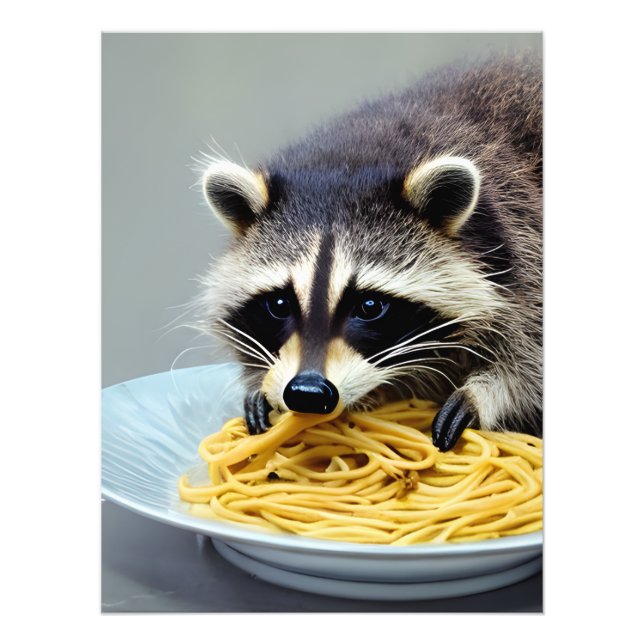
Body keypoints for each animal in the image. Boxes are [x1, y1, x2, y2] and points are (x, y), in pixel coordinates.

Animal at [197, 52, 542, 452]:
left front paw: (486, 392)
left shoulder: (523, 241)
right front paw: (260, 386)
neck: (353, 157)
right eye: (279, 304)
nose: (307, 393)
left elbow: (529, 358)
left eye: (370, 306)